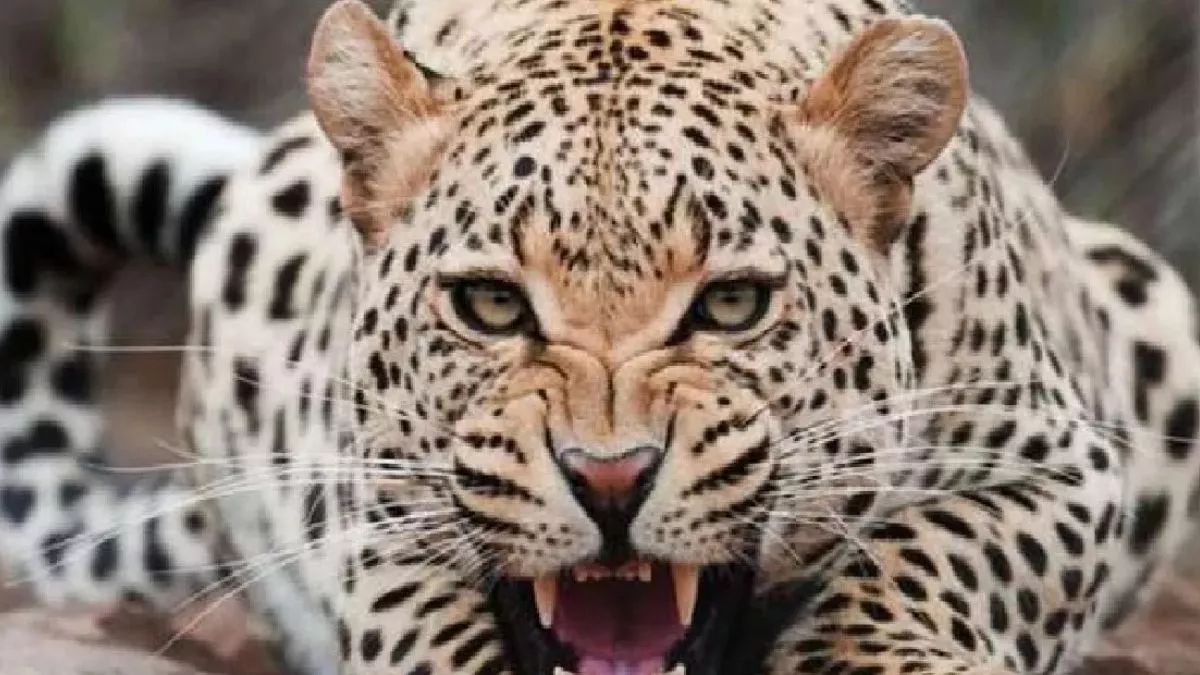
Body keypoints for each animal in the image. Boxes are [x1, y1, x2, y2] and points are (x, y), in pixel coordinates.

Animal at [2, 1, 1199, 675]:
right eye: (491, 306)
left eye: (731, 306)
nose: (611, 478)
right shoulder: (370, 506)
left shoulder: (1061, 463)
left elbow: (925, 559)